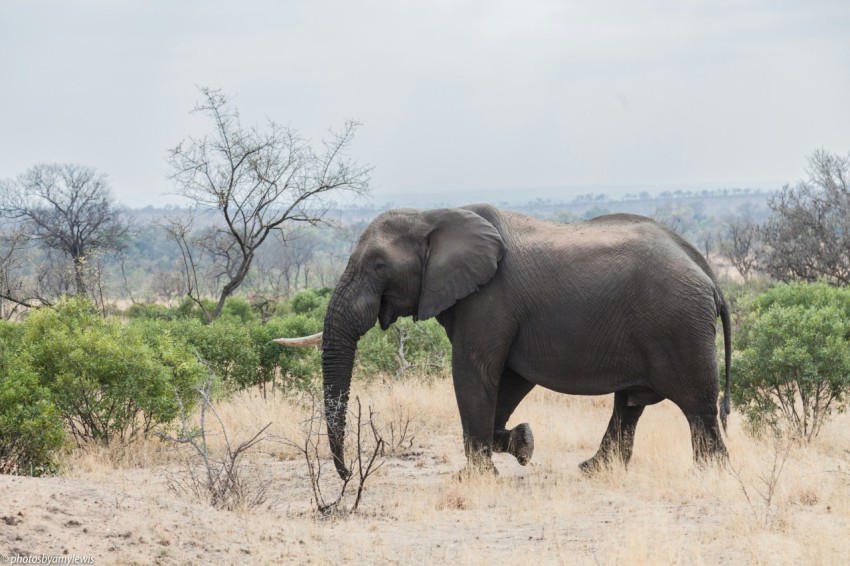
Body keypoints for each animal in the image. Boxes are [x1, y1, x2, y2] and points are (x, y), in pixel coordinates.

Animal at [277, 204, 731, 478]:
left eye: (377, 265)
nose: (348, 474)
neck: (433, 218)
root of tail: (709, 276)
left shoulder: (489, 300)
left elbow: (474, 370)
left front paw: (475, 477)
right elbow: (509, 379)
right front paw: (523, 443)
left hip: (679, 325)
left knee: (697, 407)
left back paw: (710, 473)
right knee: (630, 405)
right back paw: (592, 469)